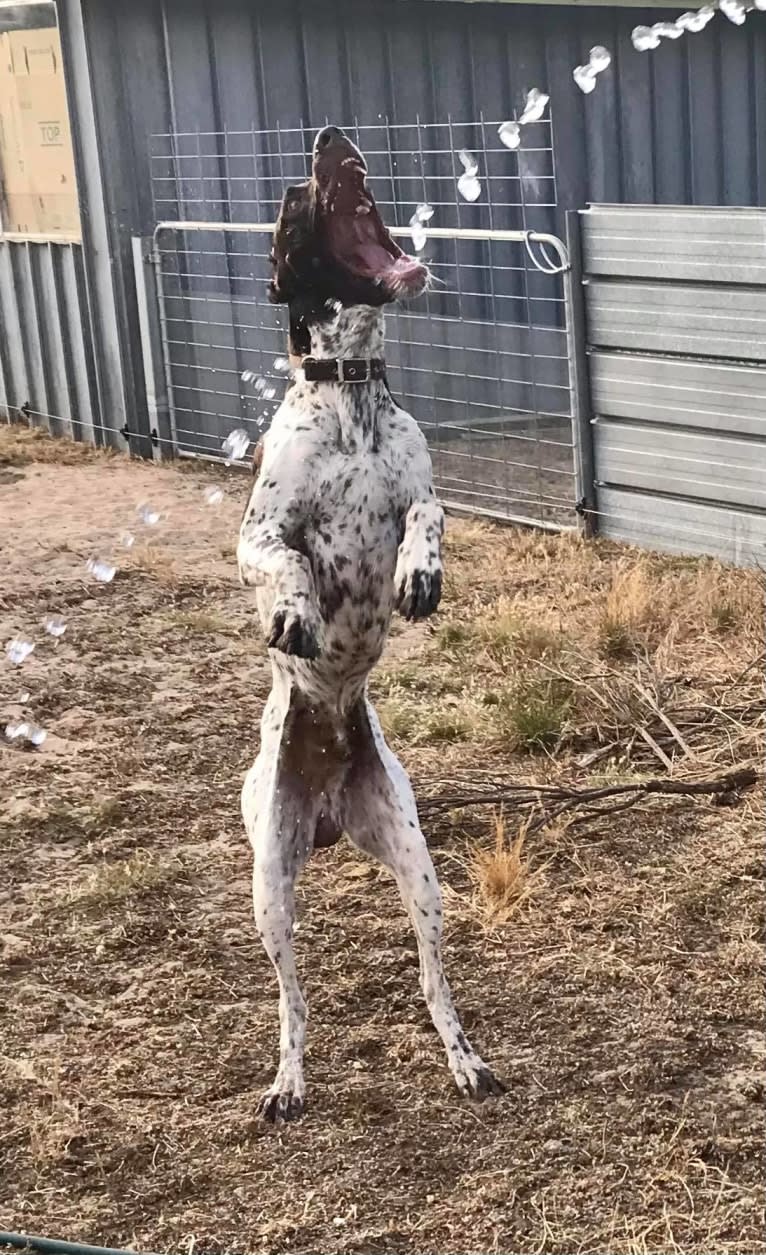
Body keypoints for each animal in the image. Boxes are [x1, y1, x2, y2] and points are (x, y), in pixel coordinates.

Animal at [236, 124, 504, 1119]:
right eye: (290, 200)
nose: (328, 136)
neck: (350, 391)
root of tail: (325, 810)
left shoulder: (421, 491)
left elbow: (426, 516)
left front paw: (419, 574)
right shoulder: (259, 530)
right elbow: (282, 562)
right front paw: (295, 613)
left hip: (419, 868)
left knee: (434, 983)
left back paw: (465, 1057)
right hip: (270, 886)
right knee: (294, 1002)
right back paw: (287, 1080)